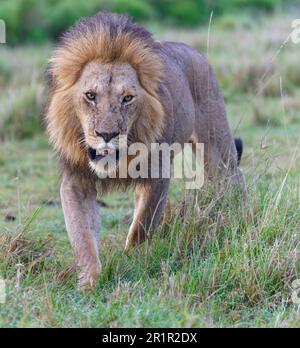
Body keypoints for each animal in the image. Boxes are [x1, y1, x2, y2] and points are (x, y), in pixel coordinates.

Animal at [45, 12, 246, 290]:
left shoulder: (157, 175)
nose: (107, 135)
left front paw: (131, 261)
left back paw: (244, 218)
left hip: (217, 151)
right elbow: (81, 234)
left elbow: (142, 226)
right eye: (90, 95)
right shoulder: (76, 180)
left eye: (127, 98)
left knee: (234, 179)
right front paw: (89, 283)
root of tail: (195, 52)